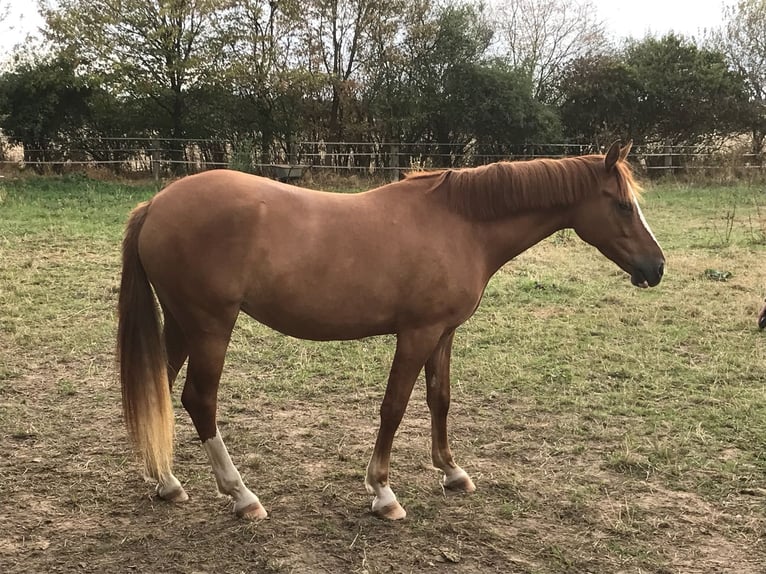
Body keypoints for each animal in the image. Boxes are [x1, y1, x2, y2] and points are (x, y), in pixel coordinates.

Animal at [118, 143, 664, 520]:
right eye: (621, 204)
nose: (656, 267)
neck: (460, 224)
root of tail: (155, 205)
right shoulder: (417, 333)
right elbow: (395, 406)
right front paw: (382, 492)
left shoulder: (443, 333)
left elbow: (440, 399)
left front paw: (452, 472)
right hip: (210, 326)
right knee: (199, 400)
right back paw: (242, 495)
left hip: (183, 324)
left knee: (161, 387)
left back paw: (167, 482)